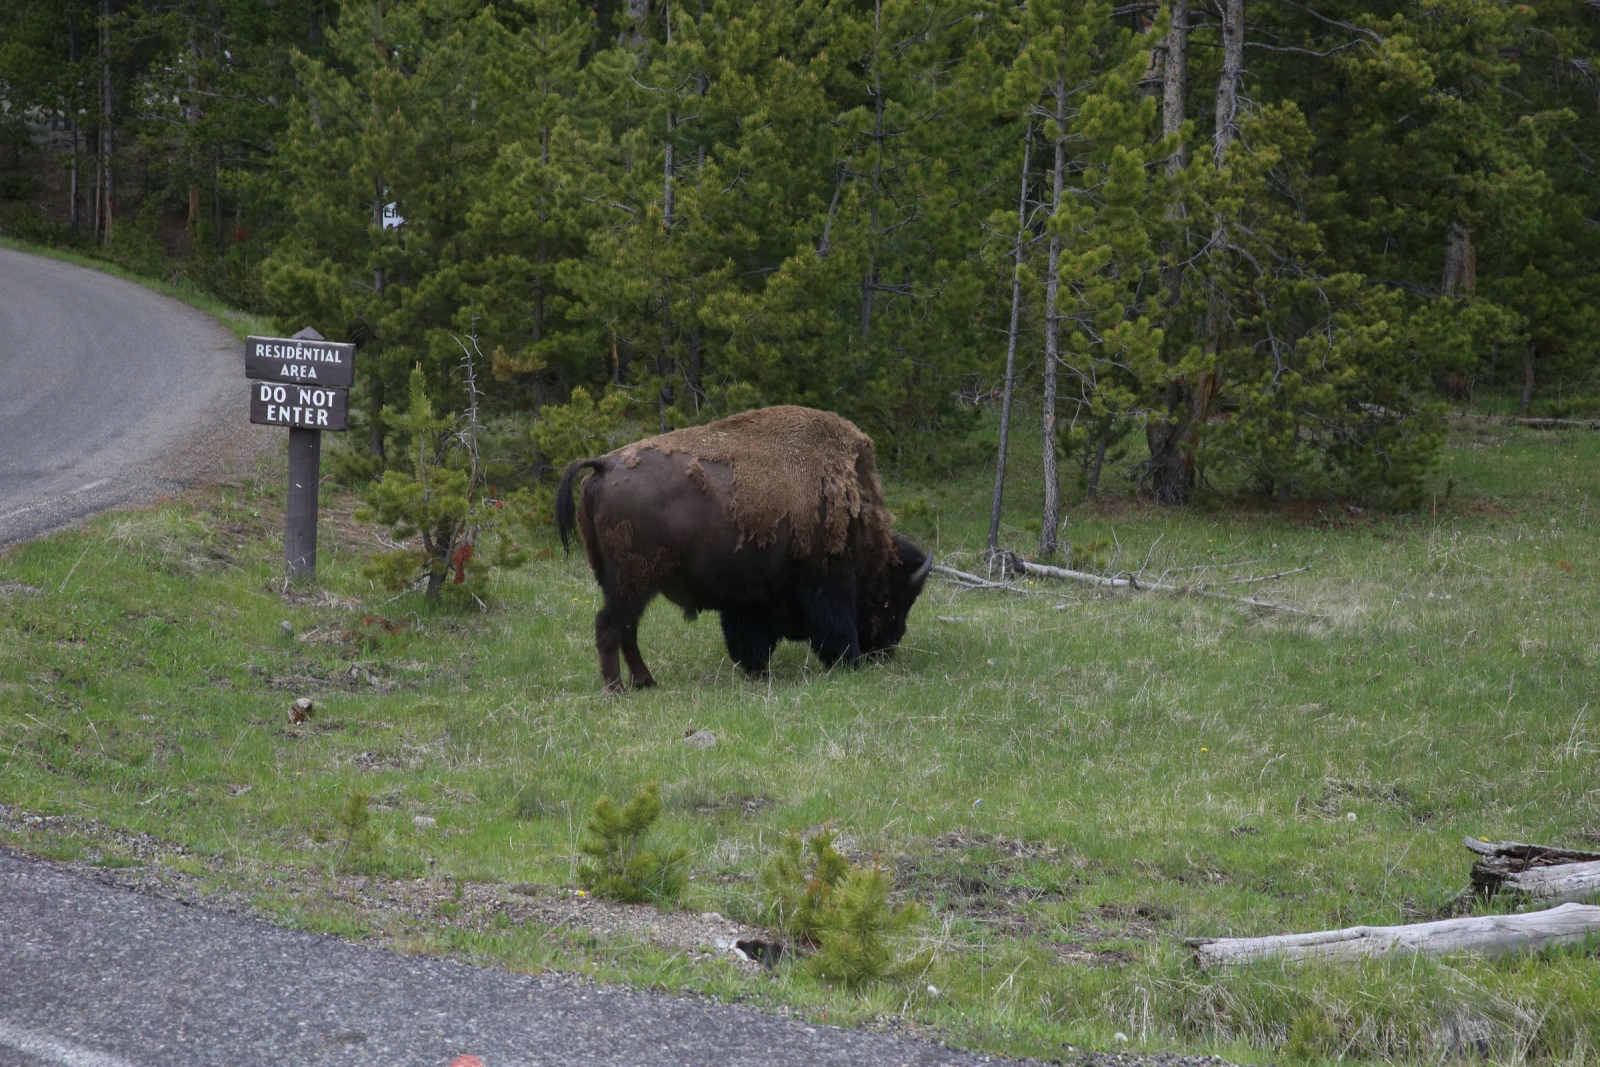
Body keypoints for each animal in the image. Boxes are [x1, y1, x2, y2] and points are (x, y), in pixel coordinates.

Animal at [560, 403, 934, 694]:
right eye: (889, 601)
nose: (885, 650)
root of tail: (604, 465)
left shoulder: (748, 598)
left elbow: (749, 638)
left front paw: (756, 671)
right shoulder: (827, 580)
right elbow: (835, 627)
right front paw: (849, 662)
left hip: (628, 586)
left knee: (626, 629)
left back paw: (645, 682)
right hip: (633, 583)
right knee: (610, 627)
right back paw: (617, 690)